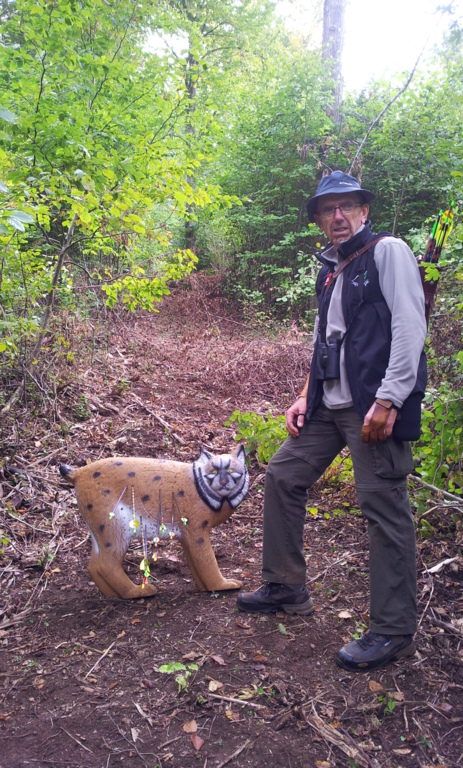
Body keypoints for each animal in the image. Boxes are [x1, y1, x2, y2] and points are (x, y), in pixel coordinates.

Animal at [59, 446, 249, 599]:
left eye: (230, 470)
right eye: (214, 471)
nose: (223, 482)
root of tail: (79, 472)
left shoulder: (186, 534)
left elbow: (196, 562)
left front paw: (204, 587)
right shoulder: (197, 530)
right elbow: (208, 560)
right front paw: (222, 586)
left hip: (98, 528)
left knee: (93, 565)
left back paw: (112, 595)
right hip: (115, 526)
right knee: (106, 565)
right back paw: (136, 592)